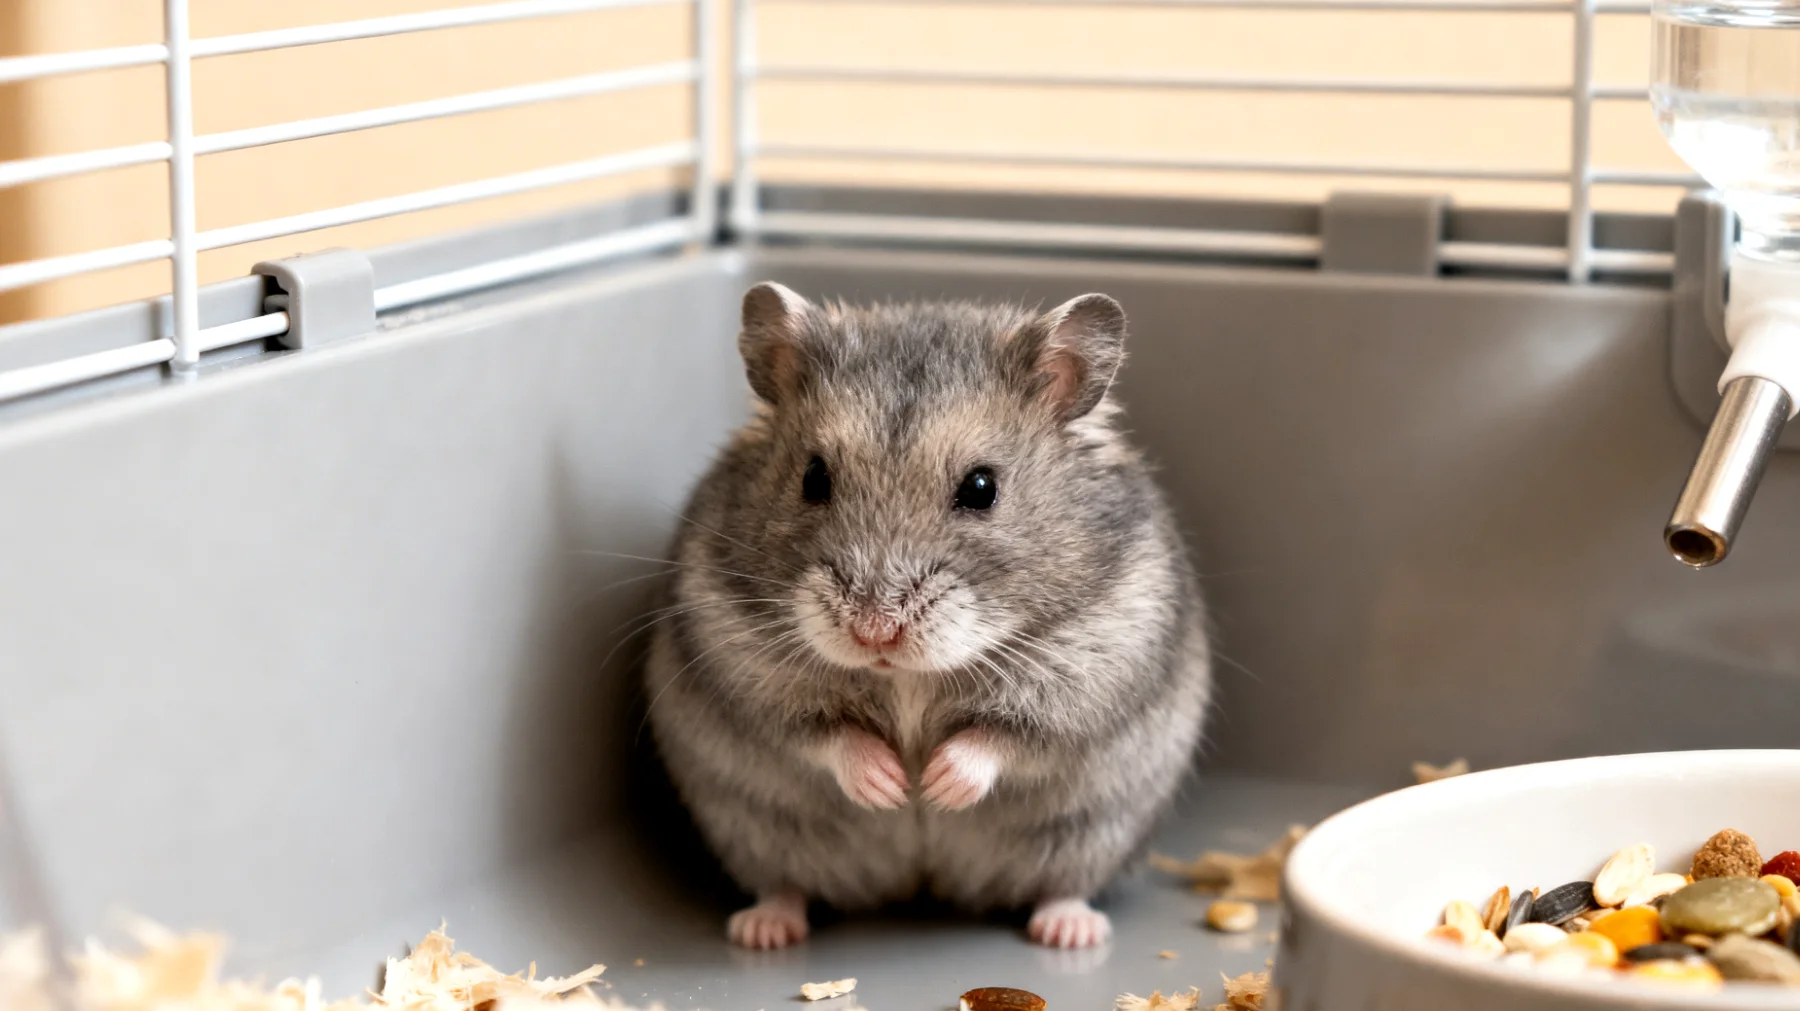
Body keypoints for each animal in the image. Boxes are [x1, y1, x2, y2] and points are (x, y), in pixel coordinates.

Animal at [643, 282, 1212, 950]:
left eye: (982, 487)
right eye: (814, 477)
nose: (874, 630)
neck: (905, 676)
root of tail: (922, 883)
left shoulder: (1088, 667)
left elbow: (1001, 736)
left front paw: (936, 789)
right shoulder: (743, 659)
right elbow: (824, 733)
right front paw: (892, 789)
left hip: (1093, 832)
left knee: (1064, 883)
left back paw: (1069, 930)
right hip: (758, 830)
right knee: (785, 885)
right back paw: (763, 930)